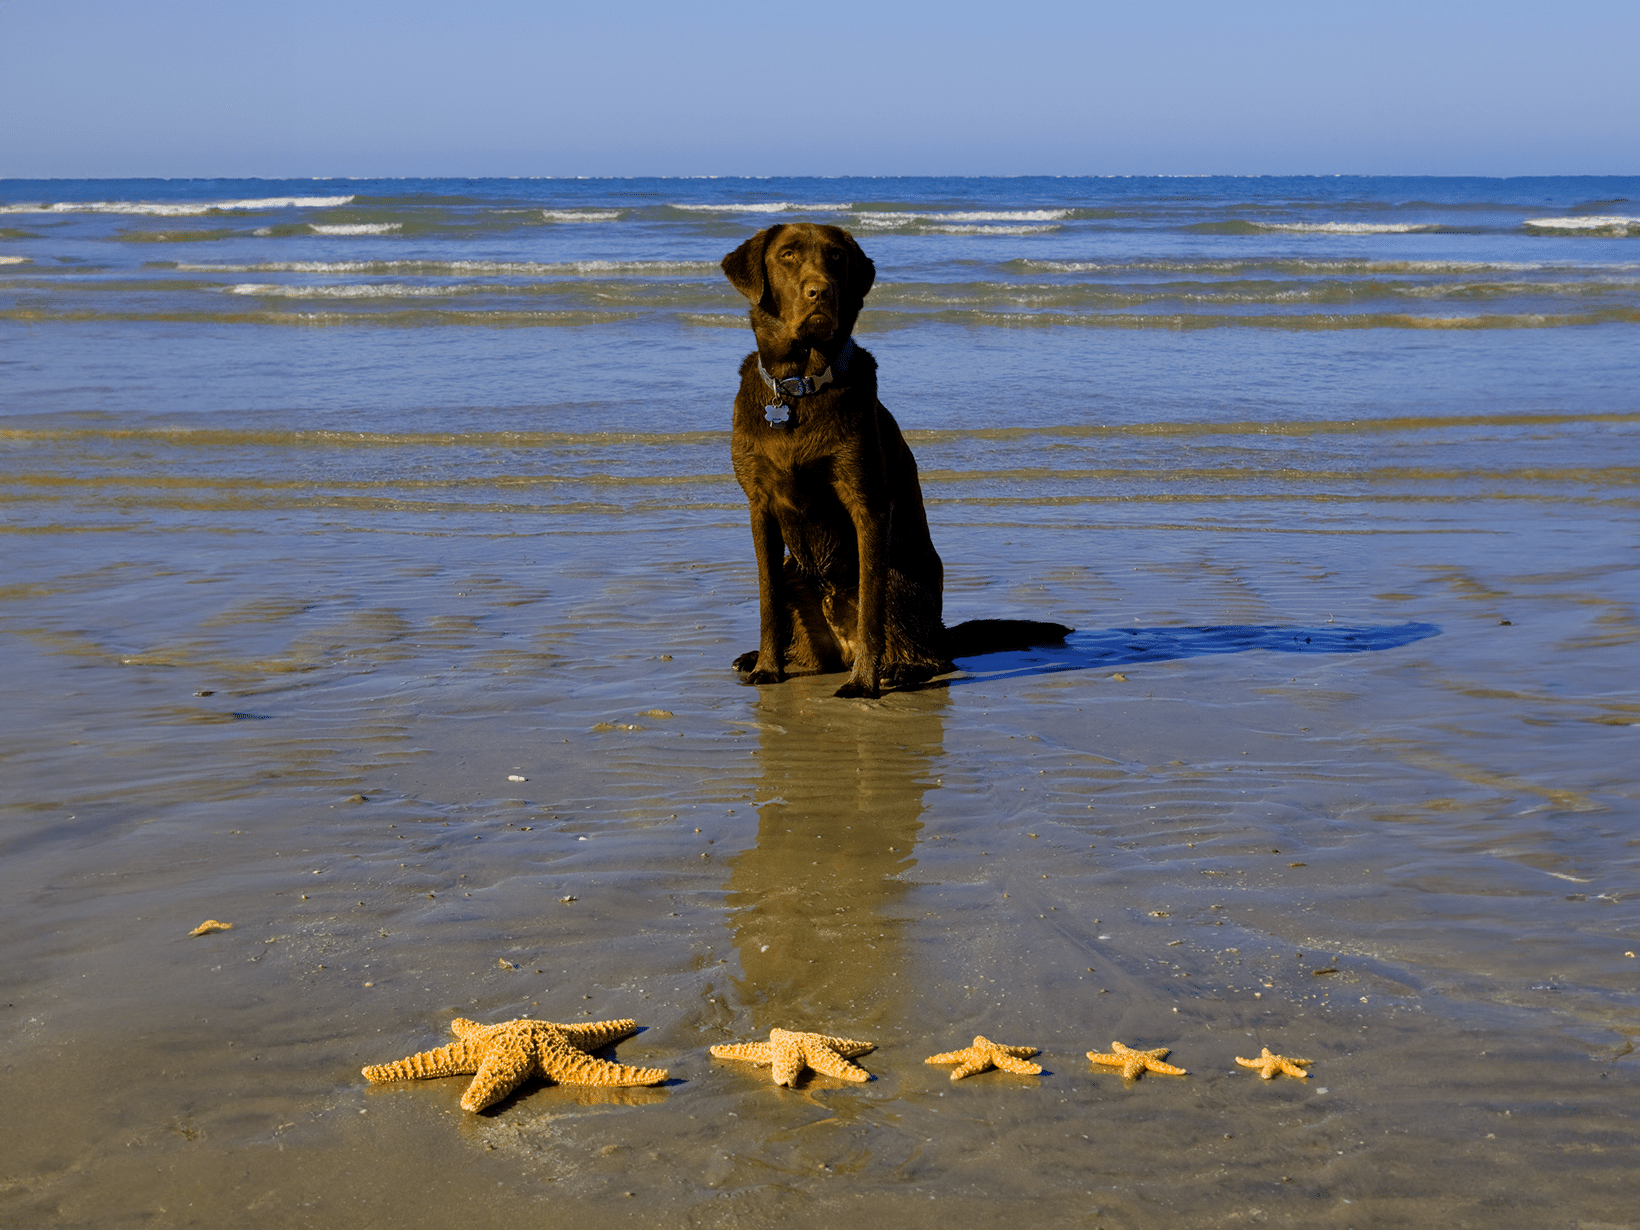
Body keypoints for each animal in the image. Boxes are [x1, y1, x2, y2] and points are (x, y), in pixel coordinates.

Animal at [724, 224, 1069, 698]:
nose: (821, 292)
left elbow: (871, 609)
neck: (799, 388)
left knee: (934, 656)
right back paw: (761, 657)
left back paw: (899, 669)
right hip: (797, 571)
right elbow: (767, 598)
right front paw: (767, 668)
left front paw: (863, 683)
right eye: (788, 255)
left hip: (901, 576)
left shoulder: (867, 501)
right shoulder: (760, 507)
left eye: (836, 257)